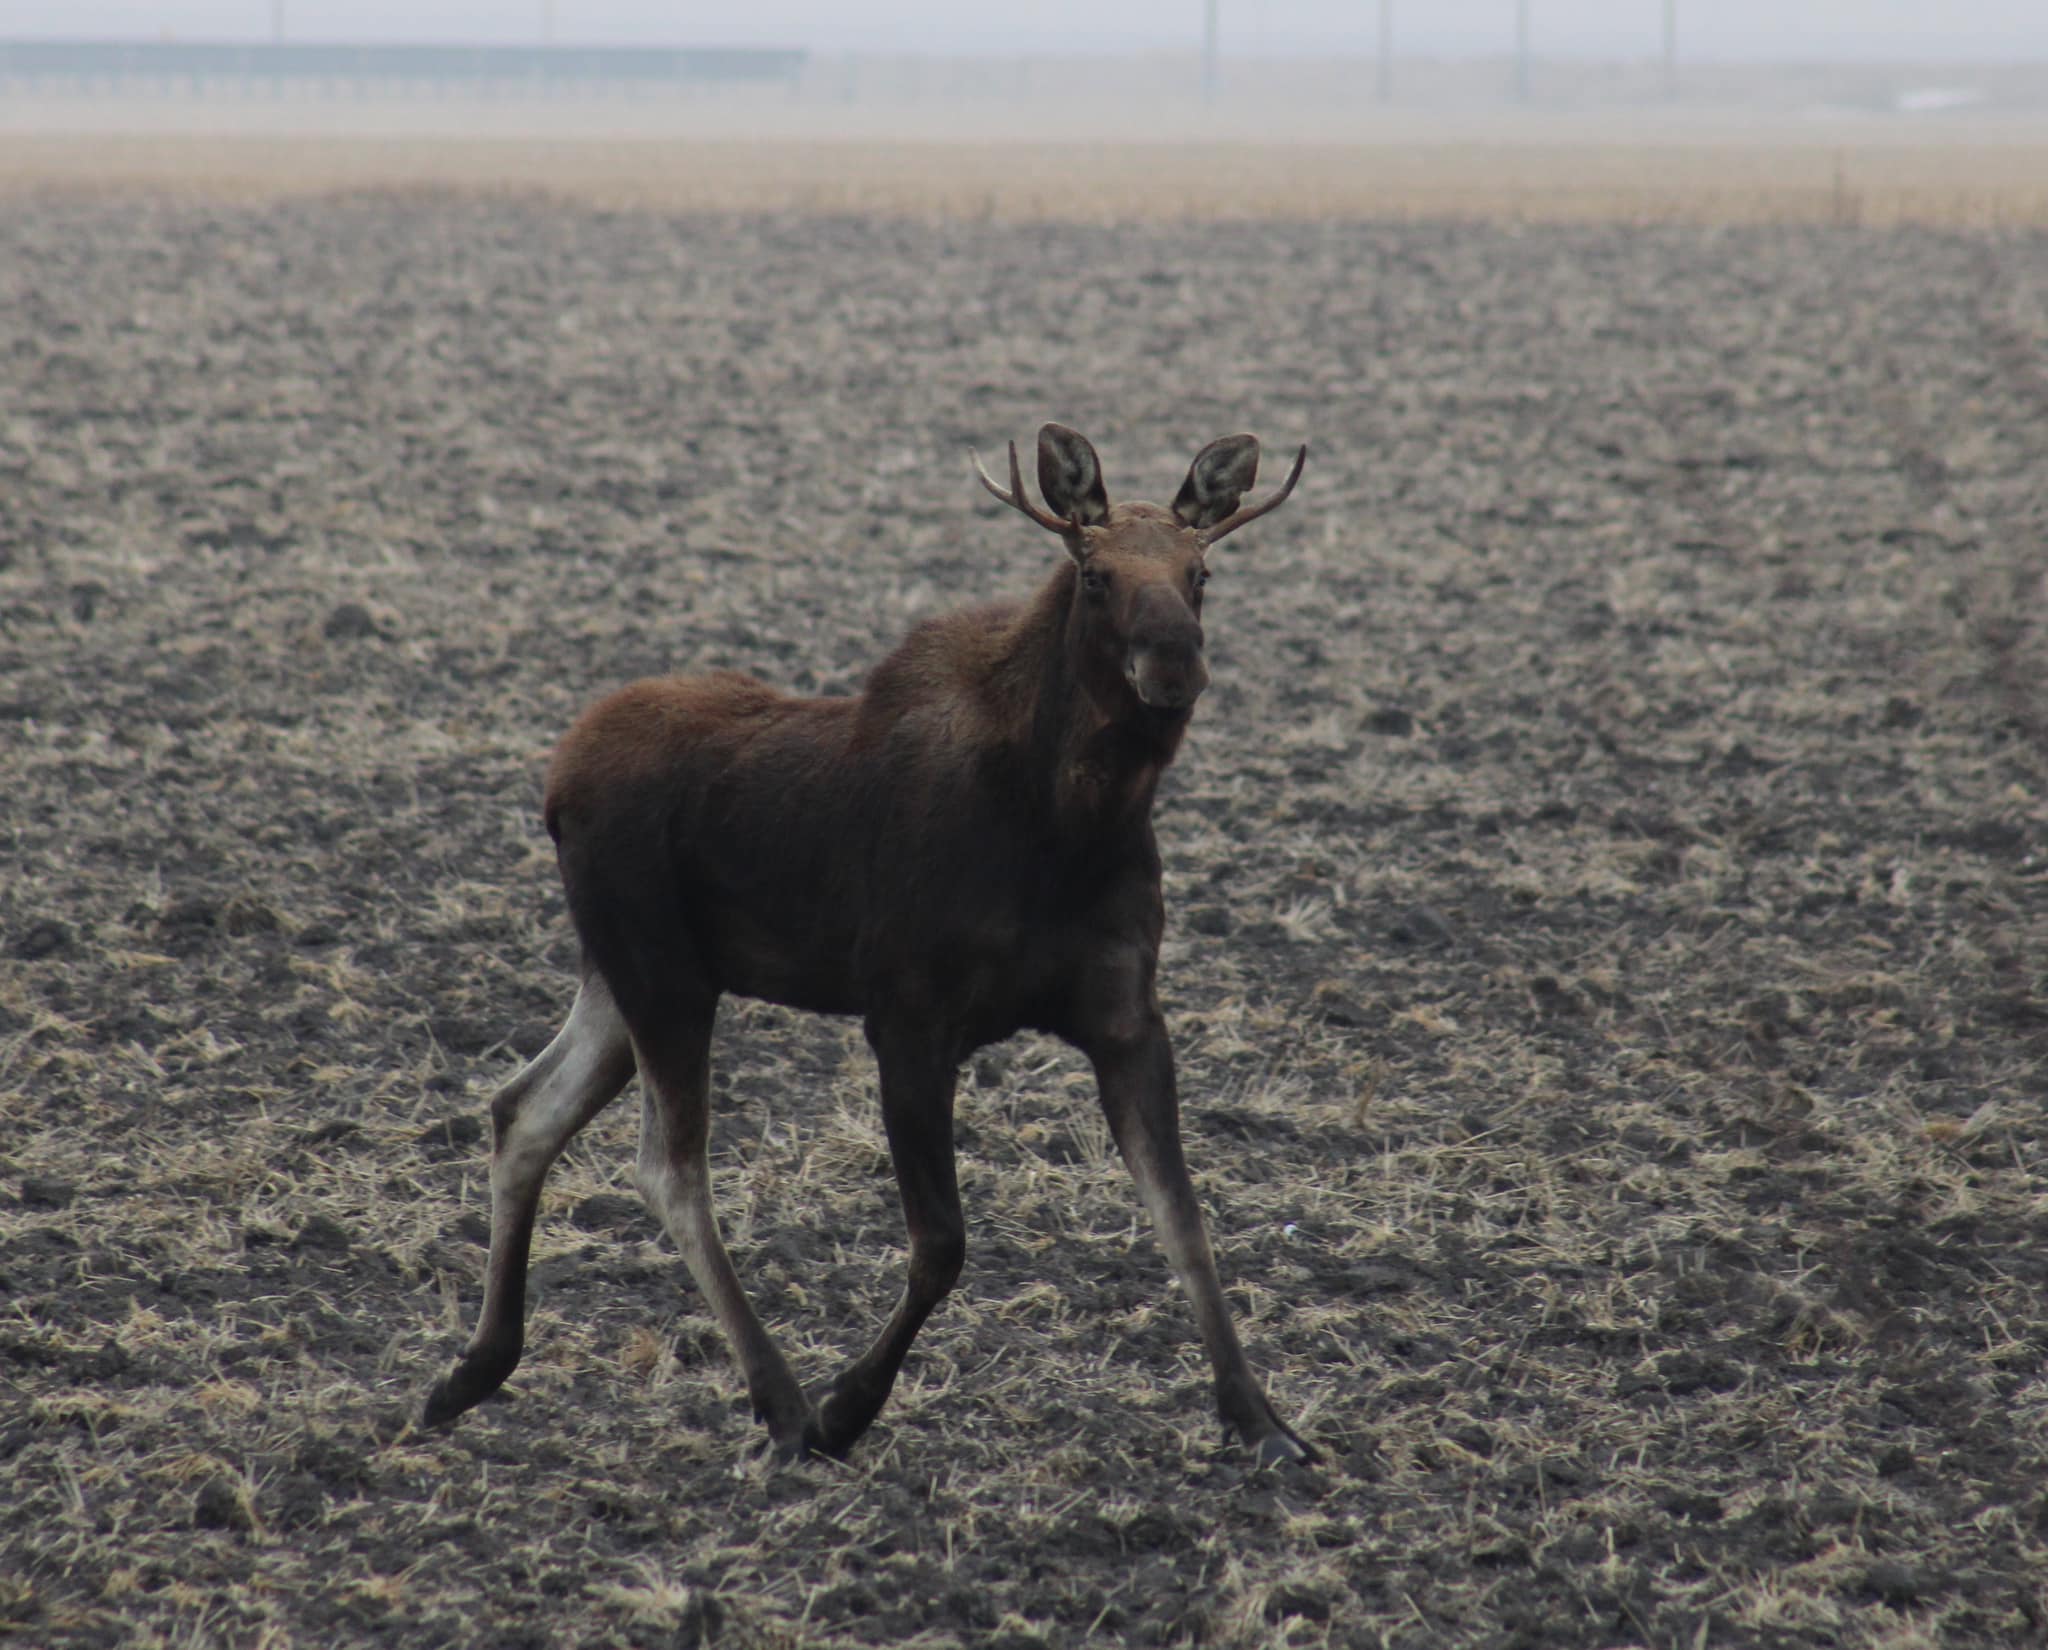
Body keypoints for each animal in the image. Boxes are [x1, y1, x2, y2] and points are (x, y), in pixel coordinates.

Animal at [421, 424, 1315, 1466]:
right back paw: (779, 1401)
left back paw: (474, 1370)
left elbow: (1186, 1222)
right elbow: (943, 1243)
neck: (1071, 831)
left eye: (1199, 572)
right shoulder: (909, 1014)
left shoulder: (1129, 1016)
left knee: (523, 1108)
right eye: (1094, 575)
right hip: (660, 969)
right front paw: (847, 1406)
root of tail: (557, 776)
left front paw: (1261, 1420)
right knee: (667, 1166)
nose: (1174, 663)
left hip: (622, 972)